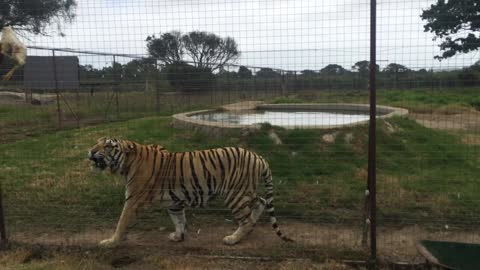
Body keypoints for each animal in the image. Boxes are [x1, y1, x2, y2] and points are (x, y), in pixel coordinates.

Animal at [89, 137, 292, 247]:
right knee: (261, 203)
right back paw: (248, 230)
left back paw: (234, 238)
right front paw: (178, 237)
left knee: (247, 218)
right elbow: (178, 220)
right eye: (96, 143)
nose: (91, 151)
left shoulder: (133, 200)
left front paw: (111, 241)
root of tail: (259, 157)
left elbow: (122, 222)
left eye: (107, 146)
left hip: (235, 194)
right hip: (246, 191)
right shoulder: (174, 201)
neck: (126, 164)